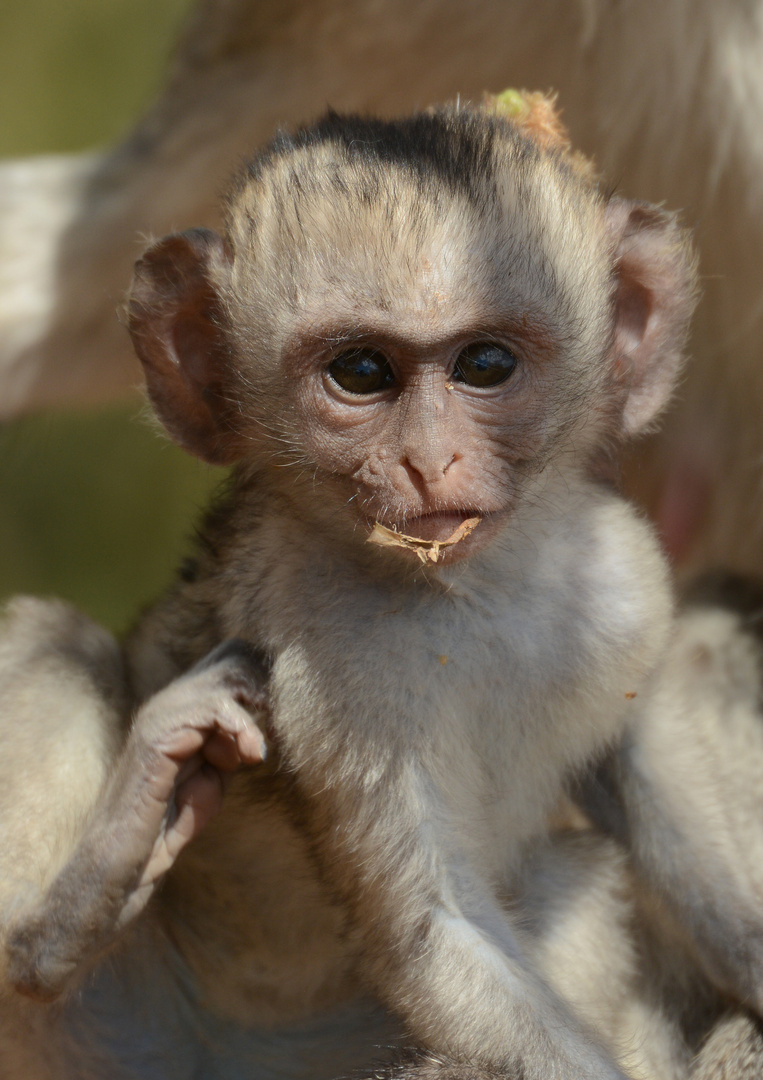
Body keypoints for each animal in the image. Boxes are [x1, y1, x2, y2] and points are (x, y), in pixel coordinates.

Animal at [1, 101, 760, 1080]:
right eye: (361, 373)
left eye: (485, 364)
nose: (428, 462)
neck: (472, 592)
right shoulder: (329, 658)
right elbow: (431, 929)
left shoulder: (622, 580)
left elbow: (637, 766)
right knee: (54, 642)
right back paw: (67, 915)